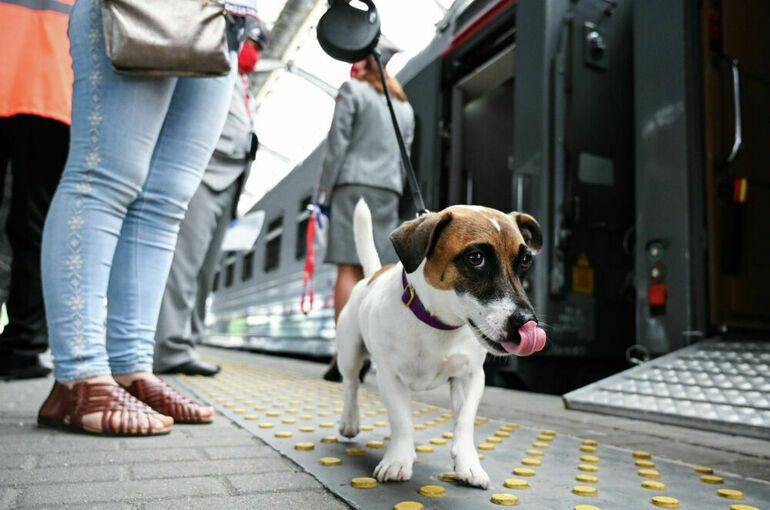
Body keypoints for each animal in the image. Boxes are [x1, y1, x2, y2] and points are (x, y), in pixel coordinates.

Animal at [336, 198, 544, 486]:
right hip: (350, 353)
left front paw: (469, 463)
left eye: (524, 260)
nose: (527, 323)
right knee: (351, 383)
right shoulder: (390, 377)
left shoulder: (470, 377)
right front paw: (398, 460)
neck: (440, 323)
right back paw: (349, 420)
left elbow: (465, 421)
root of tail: (373, 274)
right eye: (475, 258)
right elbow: (402, 421)